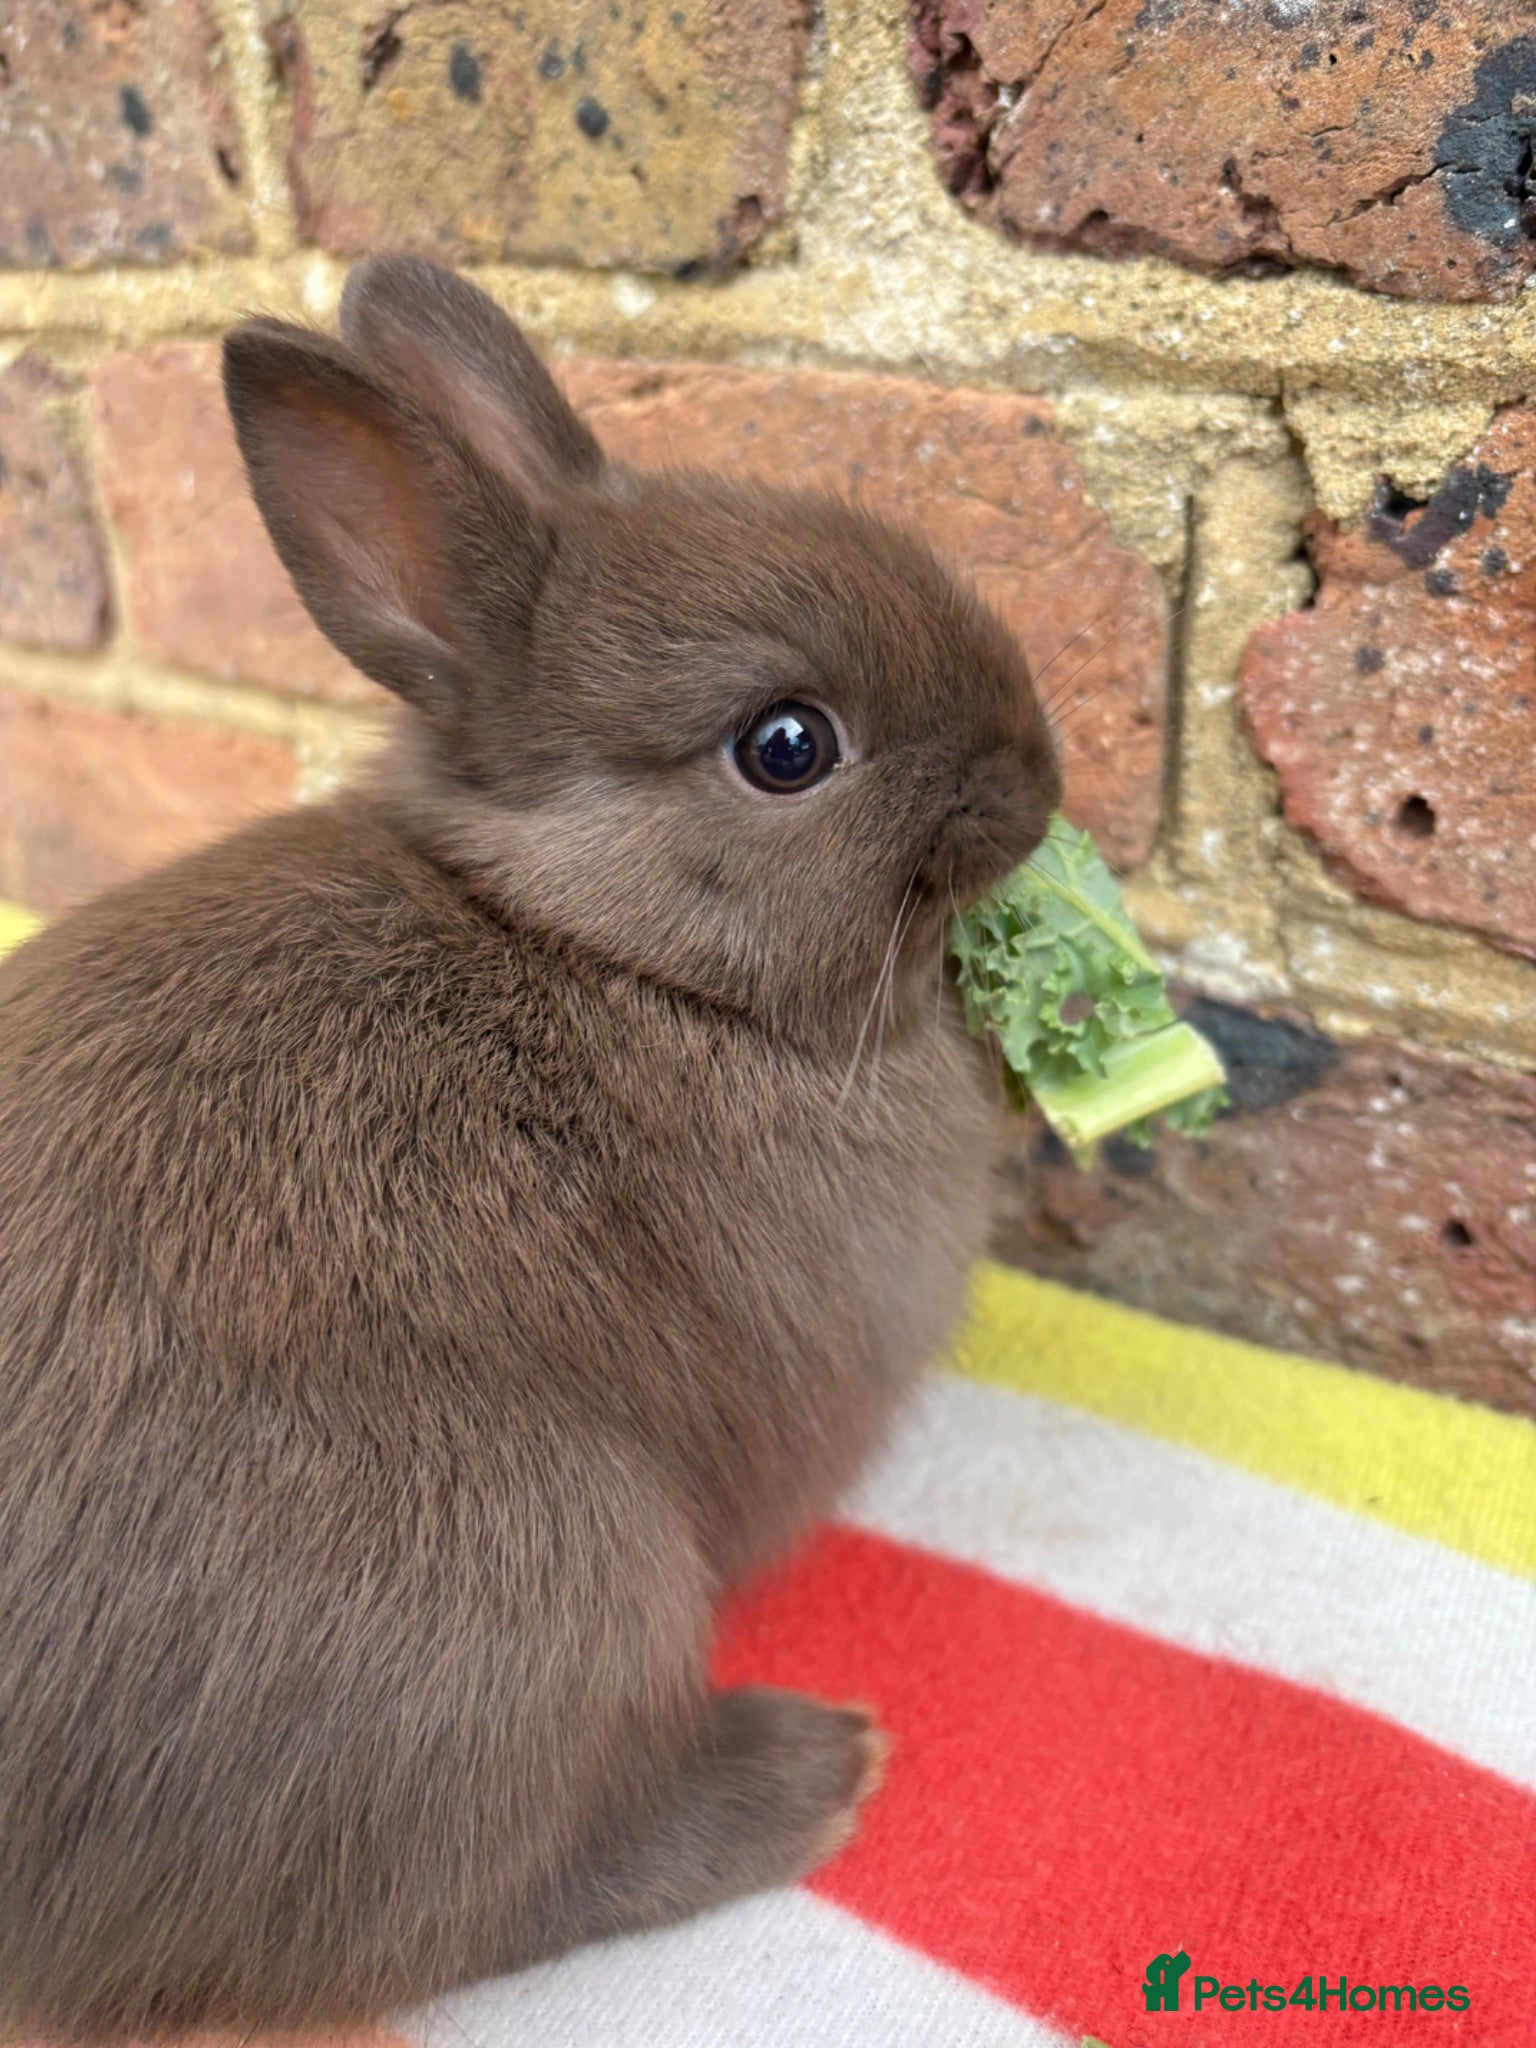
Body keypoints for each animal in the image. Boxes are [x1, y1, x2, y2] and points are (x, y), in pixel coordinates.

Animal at [0, 255, 1061, 2038]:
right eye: (787, 746)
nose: (1038, 779)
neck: (616, 949)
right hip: (539, 1589)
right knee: (477, 1900)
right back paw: (812, 1772)